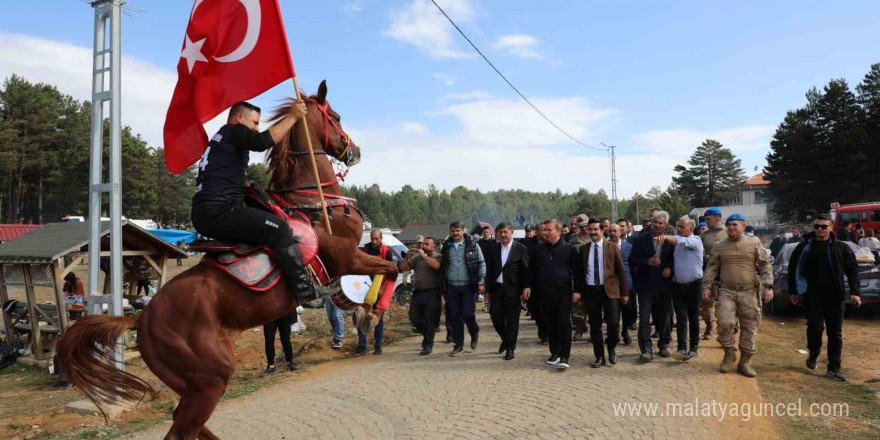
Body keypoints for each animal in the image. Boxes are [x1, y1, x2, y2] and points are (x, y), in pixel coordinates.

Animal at [56, 80, 398, 440]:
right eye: (336, 116)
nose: (354, 150)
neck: (313, 203)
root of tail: (142, 317)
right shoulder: (348, 259)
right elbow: (391, 269)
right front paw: (370, 312)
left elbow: (382, 274)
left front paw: (363, 310)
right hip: (211, 377)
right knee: (183, 429)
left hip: (192, 382)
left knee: (183, 421)